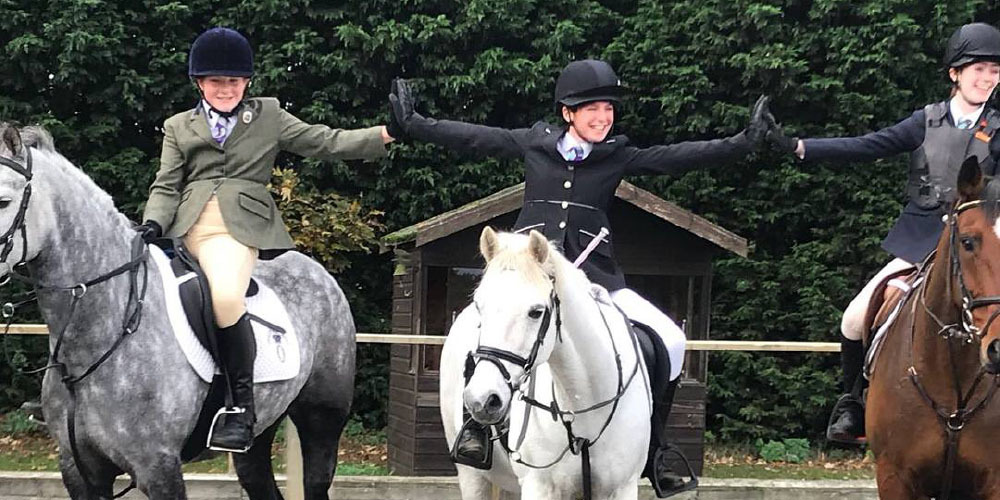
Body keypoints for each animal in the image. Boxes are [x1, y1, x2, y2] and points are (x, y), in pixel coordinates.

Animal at [0, 122, 356, 500]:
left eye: (4, 201)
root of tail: (318, 273)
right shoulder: (79, 470)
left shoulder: (158, 467)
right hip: (259, 435)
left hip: (321, 422)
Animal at [442, 229, 652, 500]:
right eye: (480, 306)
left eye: (536, 311)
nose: (481, 399)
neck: (583, 404)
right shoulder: (538, 486)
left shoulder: (622, 488)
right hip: (472, 476)